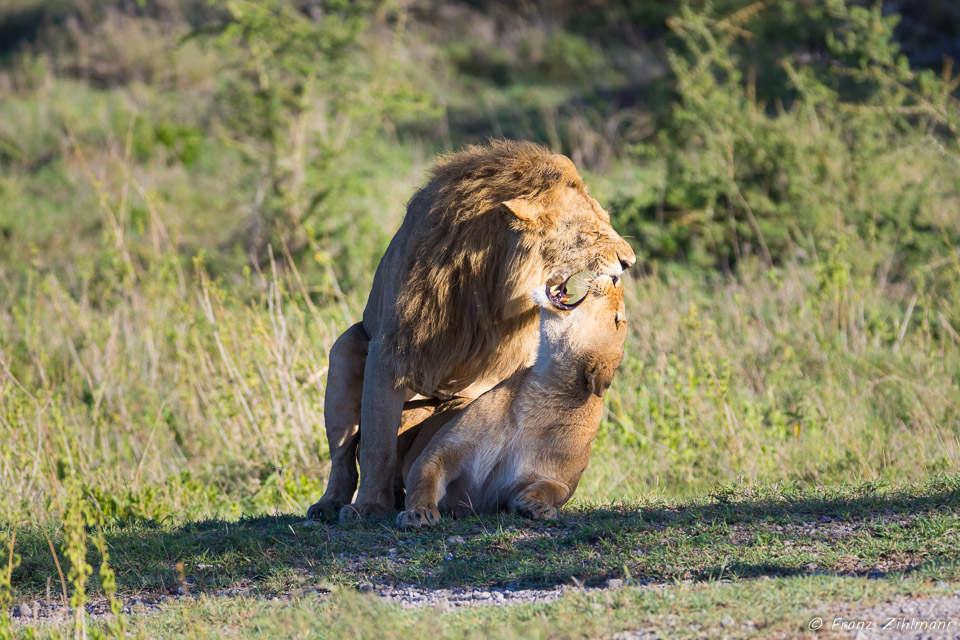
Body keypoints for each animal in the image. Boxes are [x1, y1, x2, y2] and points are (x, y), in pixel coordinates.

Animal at [394, 272, 628, 528]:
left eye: (617, 320)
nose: (616, 279)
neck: (545, 392)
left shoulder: (558, 479)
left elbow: (552, 489)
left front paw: (536, 506)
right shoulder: (441, 451)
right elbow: (424, 478)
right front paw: (418, 512)